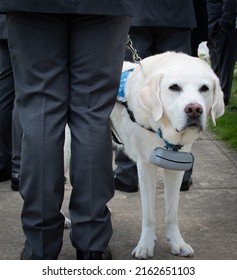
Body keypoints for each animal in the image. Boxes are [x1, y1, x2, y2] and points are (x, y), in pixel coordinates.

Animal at [110, 51, 225, 260]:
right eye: (174, 87)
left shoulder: (177, 168)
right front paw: (146, 245)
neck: (164, 131)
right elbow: (149, 215)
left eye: (204, 88)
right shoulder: (145, 167)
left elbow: (172, 213)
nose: (194, 109)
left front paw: (177, 242)